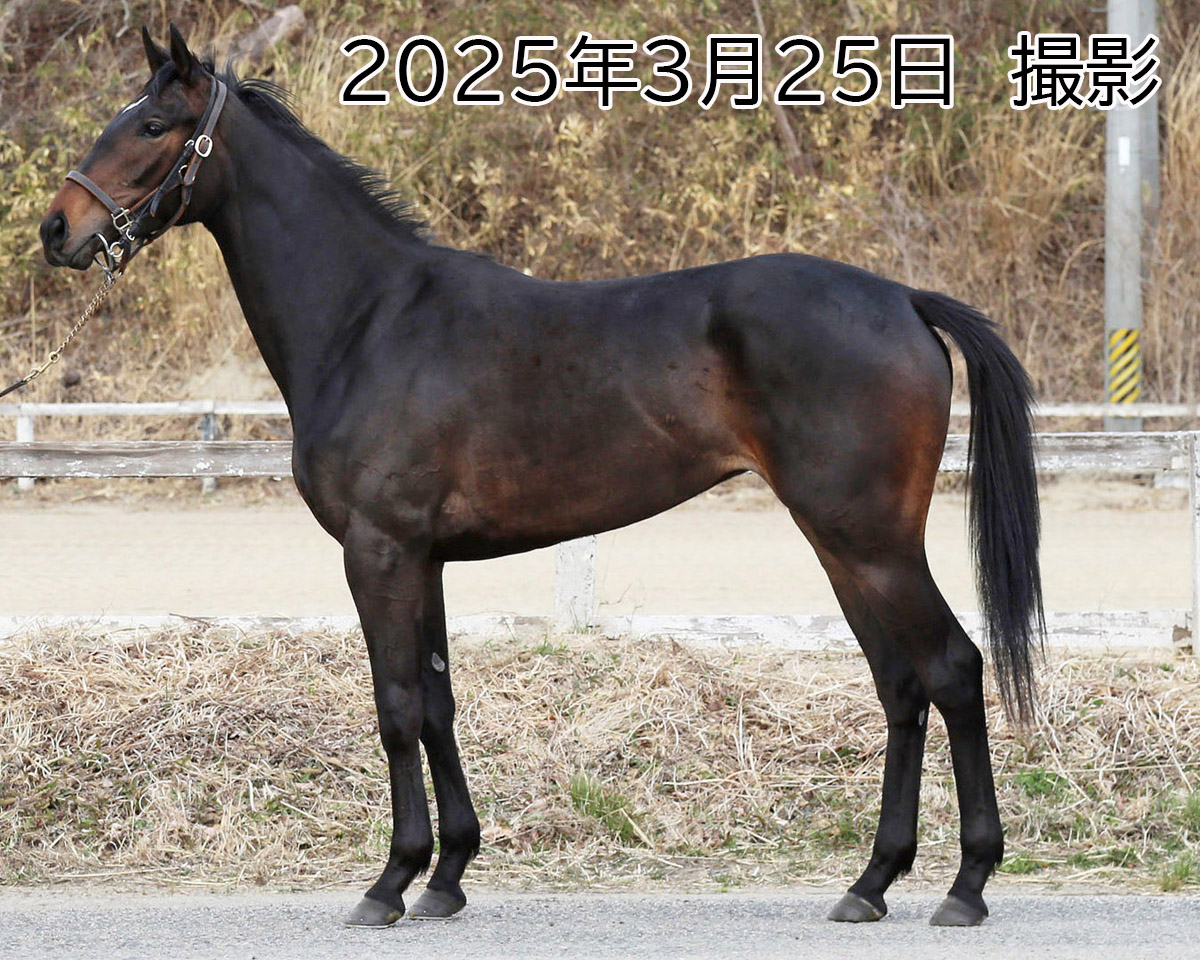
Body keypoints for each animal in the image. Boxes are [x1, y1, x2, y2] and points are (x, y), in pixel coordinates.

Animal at [39, 26, 1043, 929]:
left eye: (153, 125)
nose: (58, 229)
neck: (369, 319)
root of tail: (902, 299)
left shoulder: (379, 551)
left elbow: (396, 706)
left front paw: (388, 883)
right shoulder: (424, 559)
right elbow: (438, 703)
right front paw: (445, 877)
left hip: (870, 542)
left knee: (952, 670)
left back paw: (965, 886)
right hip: (842, 545)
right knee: (901, 687)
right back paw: (870, 883)